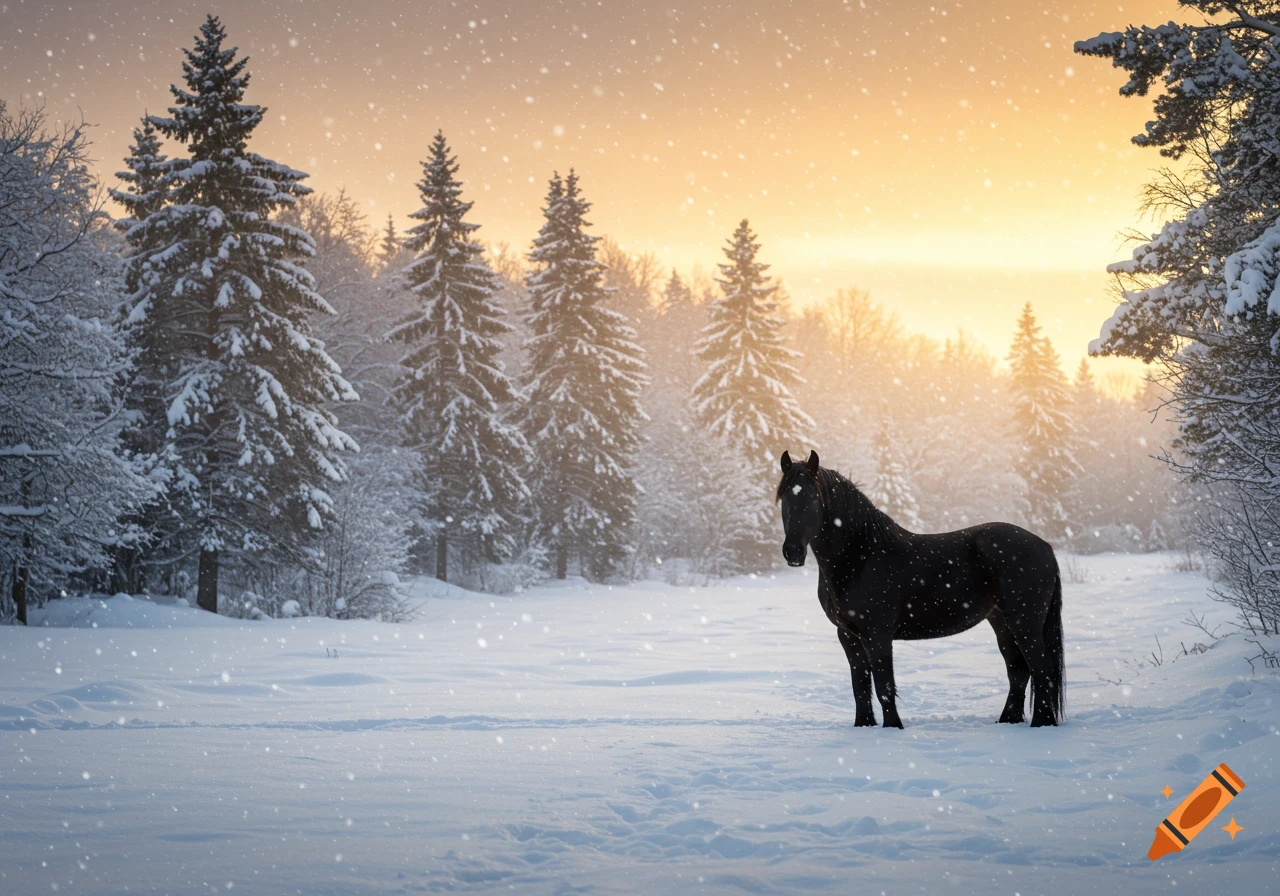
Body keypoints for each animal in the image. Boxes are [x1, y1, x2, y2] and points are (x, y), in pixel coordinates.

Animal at [776, 450, 1065, 728]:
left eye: (813, 498)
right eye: (784, 498)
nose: (792, 552)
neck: (859, 556)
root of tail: (1044, 546)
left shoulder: (877, 635)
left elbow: (884, 687)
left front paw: (893, 727)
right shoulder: (847, 635)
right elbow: (860, 687)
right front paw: (863, 727)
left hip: (1025, 623)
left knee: (1042, 669)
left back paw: (1041, 724)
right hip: (1001, 622)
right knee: (1019, 671)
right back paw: (1008, 721)